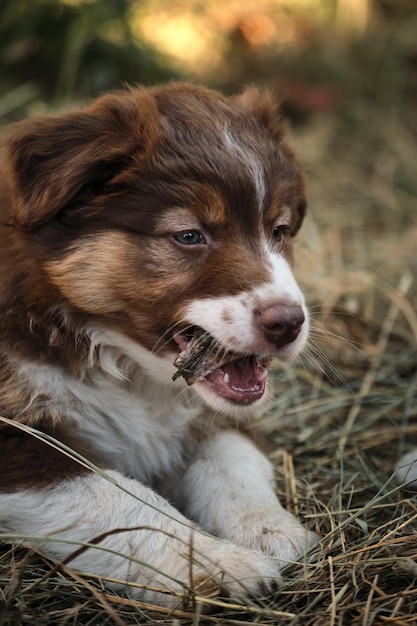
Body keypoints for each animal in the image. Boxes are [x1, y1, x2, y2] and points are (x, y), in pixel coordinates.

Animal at [0, 81, 316, 604]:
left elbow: (232, 460)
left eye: (279, 231)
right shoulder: (17, 441)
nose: (289, 323)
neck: (121, 360)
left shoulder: (219, 415)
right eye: (189, 235)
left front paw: (269, 529)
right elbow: (120, 502)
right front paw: (219, 562)